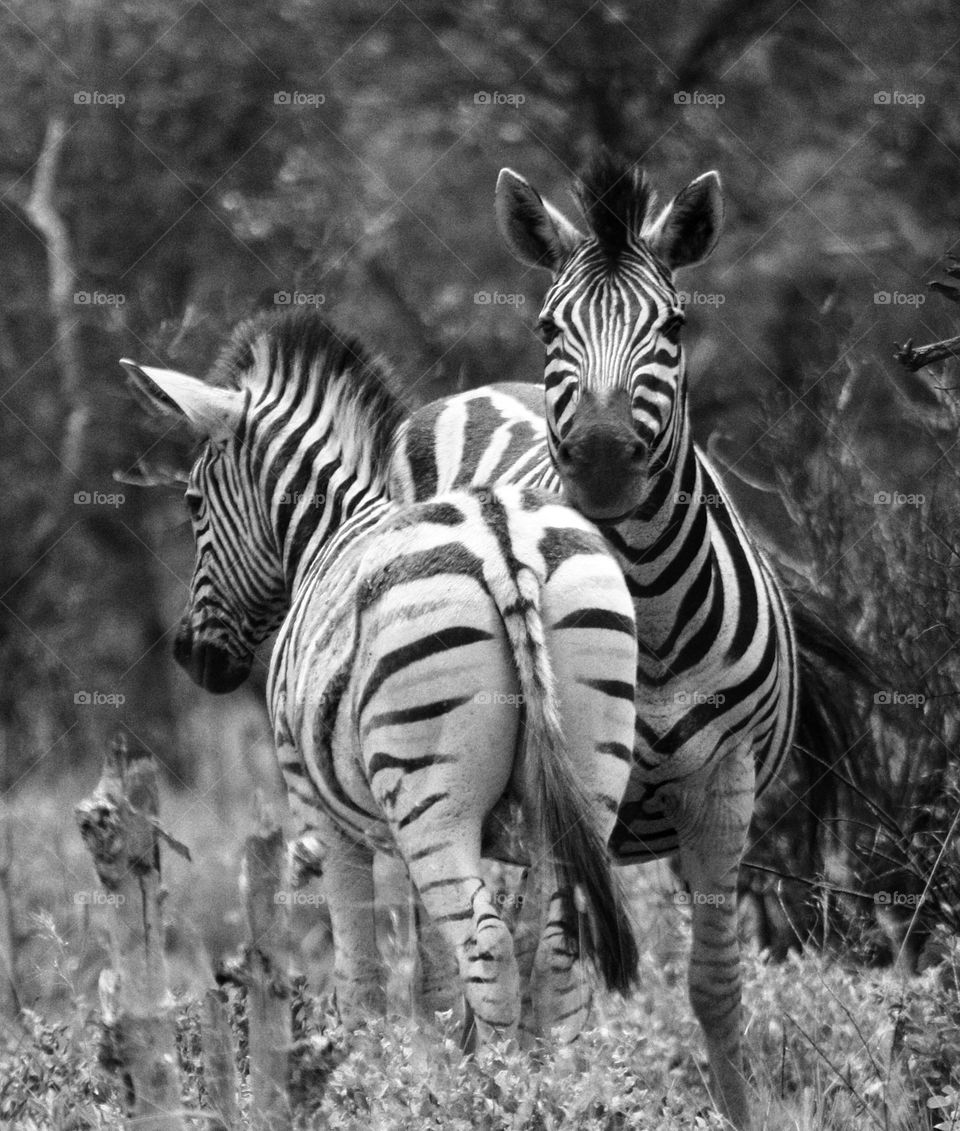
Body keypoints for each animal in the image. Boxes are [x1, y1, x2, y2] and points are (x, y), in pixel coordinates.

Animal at [120, 308, 641, 1046]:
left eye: (193, 503)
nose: (194, 658)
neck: (330, 528)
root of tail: (501, 538)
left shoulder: (314, 803)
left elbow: (360, 977)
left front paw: (364, 1063)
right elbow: (434, 980)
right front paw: (439, 1057)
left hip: (432, 798)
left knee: (487, 943)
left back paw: (507, 1077)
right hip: (586, 769)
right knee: (556, 946)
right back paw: (560, 1075)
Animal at [392, 152, 804, 1128]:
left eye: (676, 325)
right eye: (549, 325)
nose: (607, 454)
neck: (648, 610)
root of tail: (484, 391)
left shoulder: (725, 786)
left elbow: (715, 986)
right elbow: (556, 972)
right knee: (460, 960)